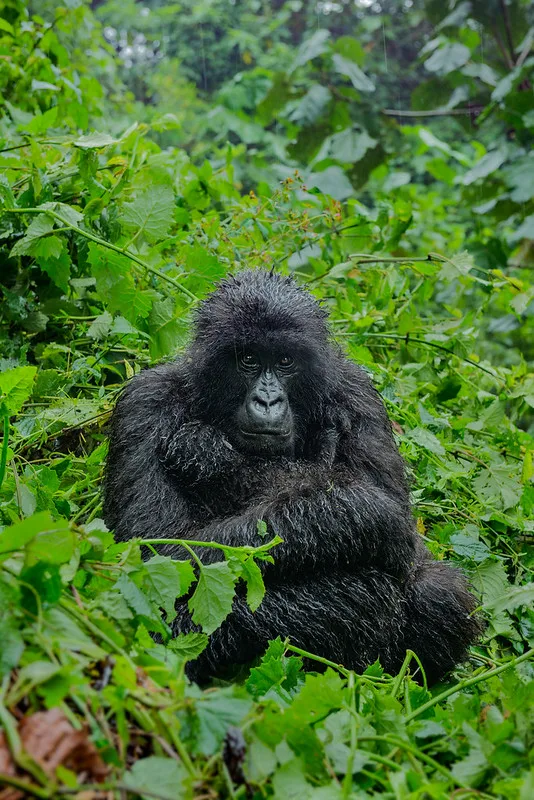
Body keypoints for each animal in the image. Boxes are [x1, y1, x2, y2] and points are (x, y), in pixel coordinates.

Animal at [102, 272, 484, 684]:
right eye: (248, 360)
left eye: (285, 361)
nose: (268, 401)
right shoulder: (145, 403)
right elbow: (157, 557)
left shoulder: (359, 396)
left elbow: (396, 523)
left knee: (439, 592)